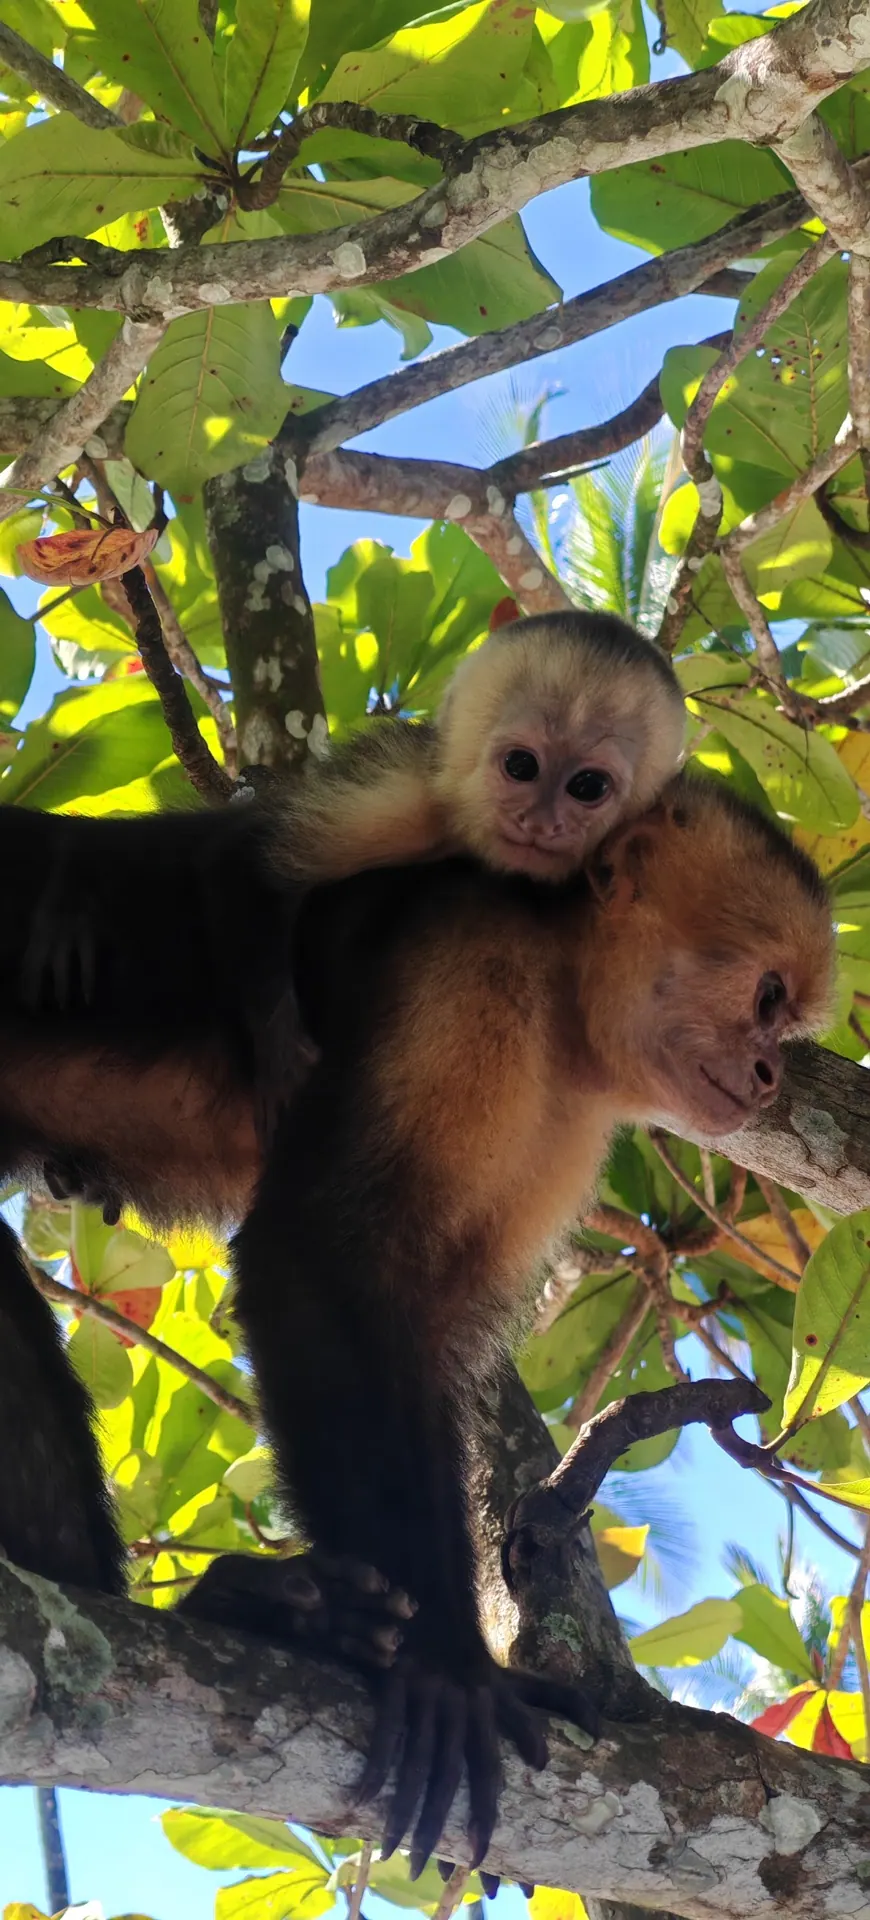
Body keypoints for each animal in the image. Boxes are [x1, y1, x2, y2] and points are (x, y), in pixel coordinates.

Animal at [0, 770, 834, 1875]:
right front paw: (445, 1663)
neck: (565, 1003)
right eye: (766, 999)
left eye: (785, 1022)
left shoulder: (569, 1116)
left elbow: (436, 1327)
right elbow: (323, 1253)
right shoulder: (470, 966)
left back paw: (217, 1604)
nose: (774, 1076)